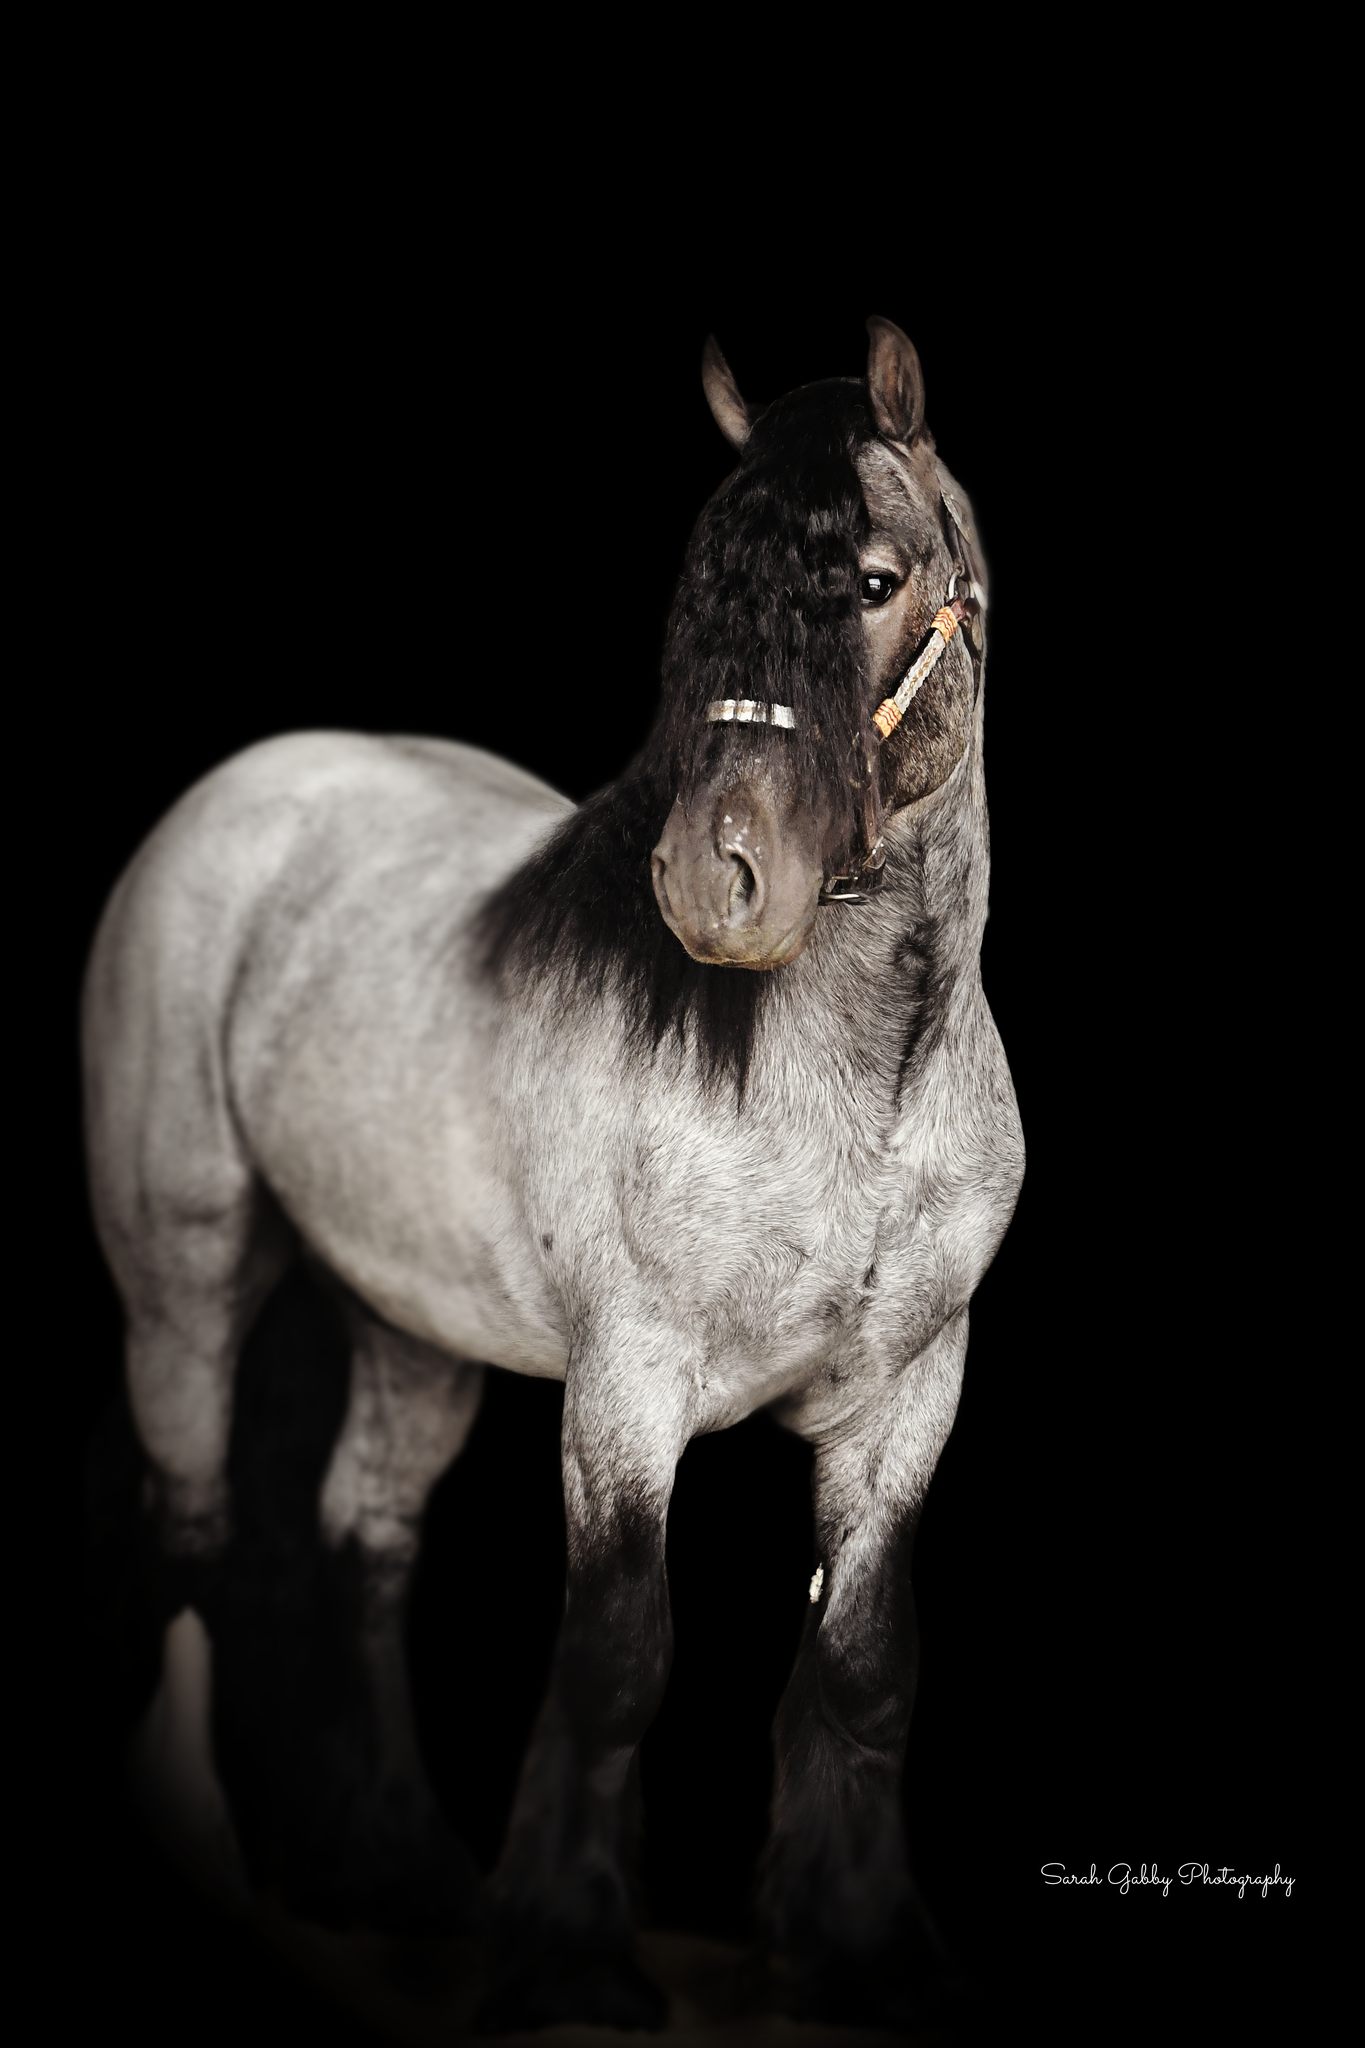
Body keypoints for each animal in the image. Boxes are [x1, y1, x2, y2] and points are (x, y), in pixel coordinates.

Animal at [82, 315, 1023, 2031]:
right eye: (706, 588)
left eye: (869, 581)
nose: (712, 884)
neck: (857, 1078)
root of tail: (252, 788)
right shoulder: (628, 1389)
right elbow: (616, 1655)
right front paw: (568, 1953)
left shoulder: (911, 1396)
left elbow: (865, 1663)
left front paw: (858, 1949)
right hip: (183, 1281)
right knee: (193, 1532)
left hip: (410, 1323)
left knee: (368, 1541)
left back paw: (399, 1878)